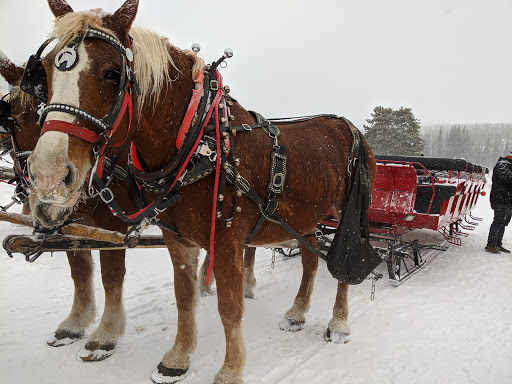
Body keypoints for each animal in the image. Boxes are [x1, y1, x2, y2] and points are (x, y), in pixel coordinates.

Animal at [26, 1, 376, 382]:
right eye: (45, 71)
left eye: (112, 74)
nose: (48, 174)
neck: (196, 142)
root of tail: (350, 127)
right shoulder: (178, 238)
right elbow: (184, 296)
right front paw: (178, 357)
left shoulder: (225, 241)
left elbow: (230, 305)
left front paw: (231, 368)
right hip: (305, 217)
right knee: (311, 260)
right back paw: (297, 312)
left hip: (347, 213)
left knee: (344, 262)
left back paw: (338, 322)